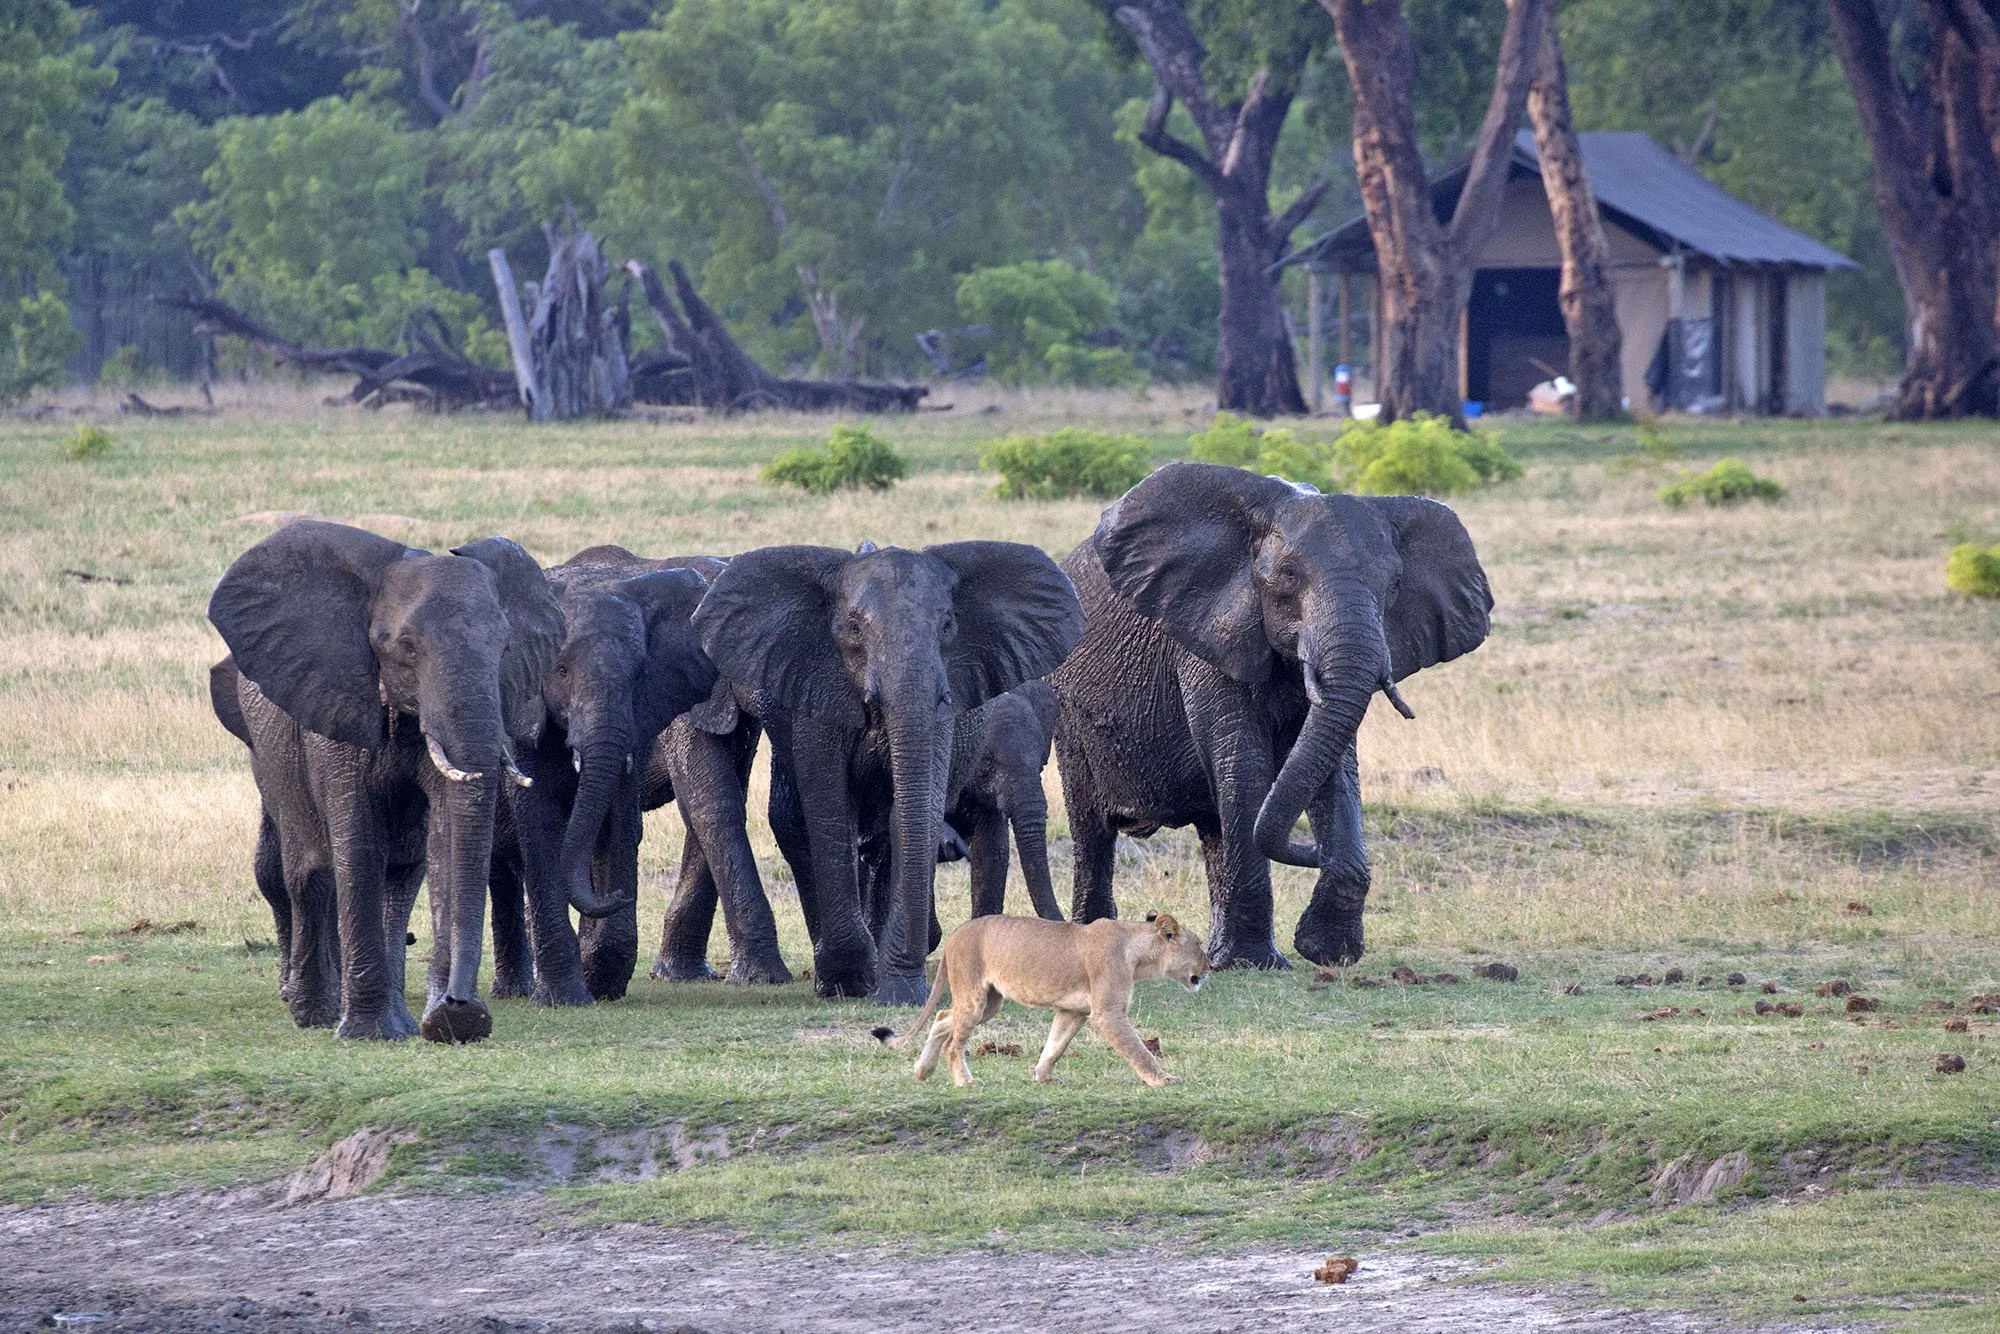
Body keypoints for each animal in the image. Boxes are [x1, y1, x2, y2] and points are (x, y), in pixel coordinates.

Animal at [208, 520, 563, 1041]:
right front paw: (369, 1034)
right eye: (405, 648)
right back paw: (314, 1015)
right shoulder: (338, 704)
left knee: (400, 877)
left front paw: (438, 1023)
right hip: (270, 756)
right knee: (307, 872)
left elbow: (443, 840)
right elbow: (357, 840)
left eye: (504, 649)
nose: (463, 1007)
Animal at [485, 547, 719, 1006]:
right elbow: (540, 827)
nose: (616, 895)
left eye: (639, 674)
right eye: (559, 670)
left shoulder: (639, 721)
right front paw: (564, 997)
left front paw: (601, 980)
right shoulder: (521, 714)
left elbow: (618, 822)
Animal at [686, 541, 1084, 1004]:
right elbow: (830, 808)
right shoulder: (820, 694)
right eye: (854, 628)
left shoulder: (944, 711)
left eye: (947, 624)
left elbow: (912, 813)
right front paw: (846, 982)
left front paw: (896, 992)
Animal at [870, 911, 1210, 1087]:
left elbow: (1055, 1045)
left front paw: (1043, 1076)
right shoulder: (1107, 1013)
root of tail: (955, 935)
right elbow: (1139, 1051)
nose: (1211, 966)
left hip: (990, 1002)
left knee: (942, 1018)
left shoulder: (1073, 1011)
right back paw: (965, 1081)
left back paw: (923, 1070)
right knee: (954, 1042)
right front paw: (1163, 1080)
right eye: (1199, 945)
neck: (1137, 953)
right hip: (974, 997)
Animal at [1049, 462, 1491, 969]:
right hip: (1069, 711)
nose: (1315, 849)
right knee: (1092, 833)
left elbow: (1335, 768)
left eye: (1394, 586)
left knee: (1213, 827)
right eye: (1288, 574)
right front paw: (1257, 964)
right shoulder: (1206, 633)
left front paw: (1327, 951)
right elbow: (1244, 765)